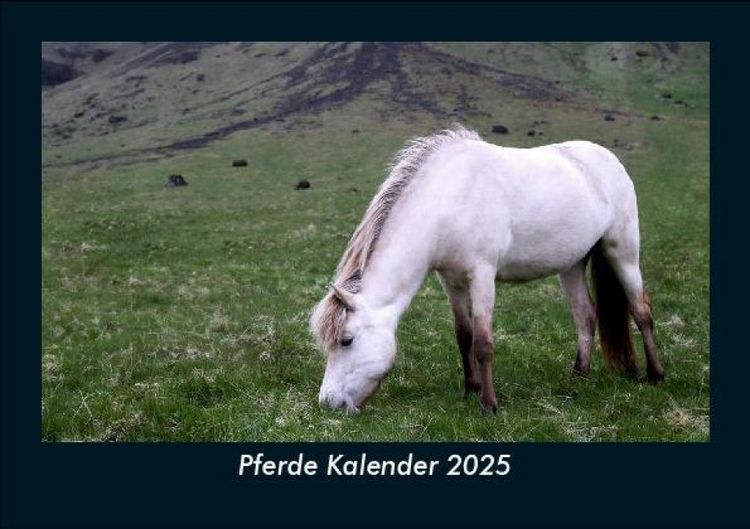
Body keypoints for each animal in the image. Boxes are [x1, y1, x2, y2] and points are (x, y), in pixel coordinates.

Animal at [310, 125, 664, 413]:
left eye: (346, 340)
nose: (328, 403)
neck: (449, 199)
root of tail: (607, 158)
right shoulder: (450, 281)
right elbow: (463, 336)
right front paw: (470, 390)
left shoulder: (482, 277)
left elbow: (483, 343)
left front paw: (489, 405)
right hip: (573, 265)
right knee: (585, 315)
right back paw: (579, 376)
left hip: (623, 251)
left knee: (641, 310)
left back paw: (655, 375)